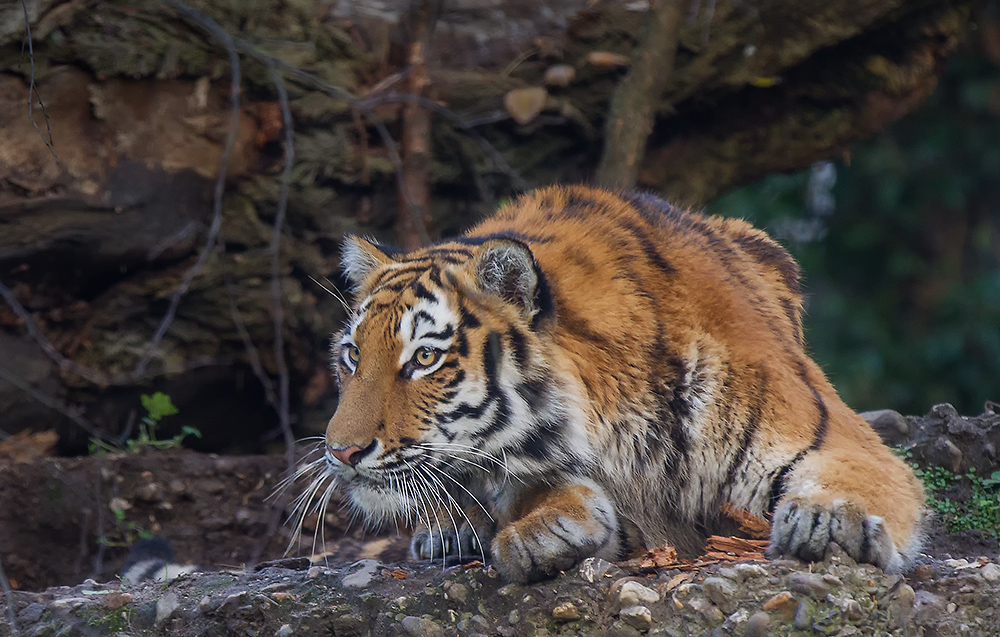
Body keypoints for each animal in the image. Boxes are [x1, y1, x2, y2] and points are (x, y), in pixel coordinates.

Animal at [300, 183, 924, 580]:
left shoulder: (833, 433)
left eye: (425, 358)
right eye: (353, 355)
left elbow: (854, 474)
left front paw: (830, 519)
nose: (341, 452)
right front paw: (545, 527)